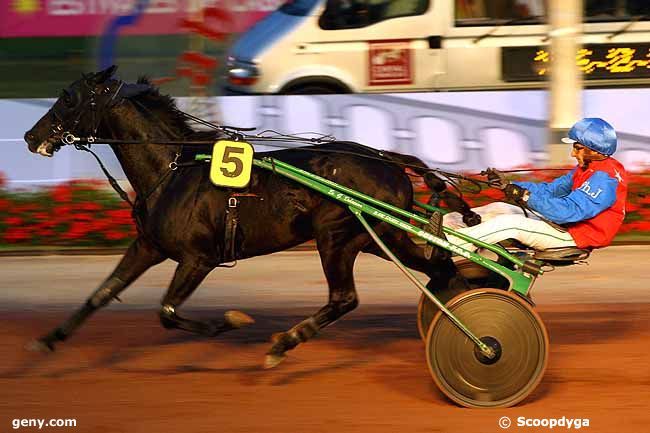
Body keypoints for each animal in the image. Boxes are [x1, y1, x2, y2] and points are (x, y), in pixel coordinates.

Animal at [24, 66, 476, 366]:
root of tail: (388, 159)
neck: (171, 169)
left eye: (68, 98)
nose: (31, 136)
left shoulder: (198, 258)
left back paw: (285, 342)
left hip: (336, 237)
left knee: (345, 298)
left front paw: (229, 321)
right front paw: (48, 339)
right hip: (377, 237)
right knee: (439, 267)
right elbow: (101, 293)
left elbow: (167, 312)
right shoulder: (149, 246)